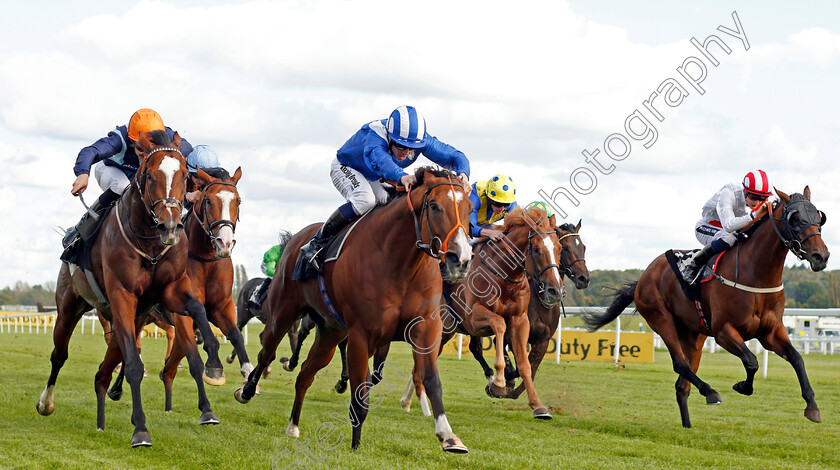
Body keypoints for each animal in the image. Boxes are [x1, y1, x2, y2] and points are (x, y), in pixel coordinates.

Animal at [37, 130, 223, 446]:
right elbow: (135, 365)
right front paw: (140, 430)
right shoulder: (122, 296)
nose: (170, 226)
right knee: (59, 354)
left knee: (103, 370)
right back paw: (46, 403)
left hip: (131, 317)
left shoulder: (170, 291)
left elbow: (197, 310)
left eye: (185, 175)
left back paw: (101, 418)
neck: (150, 243)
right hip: (70, 307)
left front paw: (213, 361)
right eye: (149, 175)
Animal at [235, 167, 472, 454]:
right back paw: (247, 390)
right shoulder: (361, 335)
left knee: (305, 374)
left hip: (330, 332)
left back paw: (293, 425)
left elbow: (431, 381)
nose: (460, 259)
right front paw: (355, 446)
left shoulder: (425, 330)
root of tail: (295, 240)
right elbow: (360, 395)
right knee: (266, 352)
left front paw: (449, 436)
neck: (401, 264)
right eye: (435, 206)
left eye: (470, 208)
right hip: (282, 314)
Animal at [400, 207, 564, 420]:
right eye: (536, 250)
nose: (555, 291)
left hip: (445, 334)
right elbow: (499, 324)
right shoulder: (472, 318)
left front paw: (538, 406)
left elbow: (525, 364)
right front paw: (499, 382)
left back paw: (412, 403)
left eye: (559, 248)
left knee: (422, 363)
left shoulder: (520, 320)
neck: (504, 276)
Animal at [584, 188, 828, 430]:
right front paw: (743, 387)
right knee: (680, 363)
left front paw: (812, 407)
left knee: (682, 385)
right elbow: (751, 361)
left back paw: (688, 426)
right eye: (795, 218)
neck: (757, 275)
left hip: (694, 335)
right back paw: (710, 392)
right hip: (660, 319)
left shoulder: (770, 332)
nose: (821, 256)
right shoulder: (723, 332)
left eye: (819, 217)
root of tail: (644, 276)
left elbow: (797, 358)